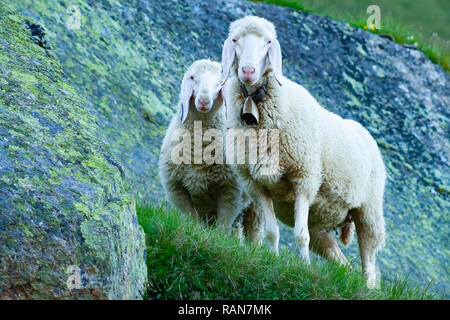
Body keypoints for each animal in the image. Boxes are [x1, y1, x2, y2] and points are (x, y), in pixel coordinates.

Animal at [160, 59, 264, 240]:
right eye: (192, 77)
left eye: (220, 82)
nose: (203, 100)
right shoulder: (177, 189)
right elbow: (190, 220)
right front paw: (191, 232)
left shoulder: (231, 192)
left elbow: (222, 227)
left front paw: (219, 239)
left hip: (256, 203)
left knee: (256, 231)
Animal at [220, 16, 384, 288]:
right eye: (235, 40)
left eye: (268, 42)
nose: (248, 71)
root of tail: (364, 132)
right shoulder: (255, 184)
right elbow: (272, 232)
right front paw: (273, 260)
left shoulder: (304, 179)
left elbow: (299, 234)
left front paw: (303, 269)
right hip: (322, 224)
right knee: (343, 262)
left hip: (369, 210)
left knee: (369, 260)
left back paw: (368, 287)